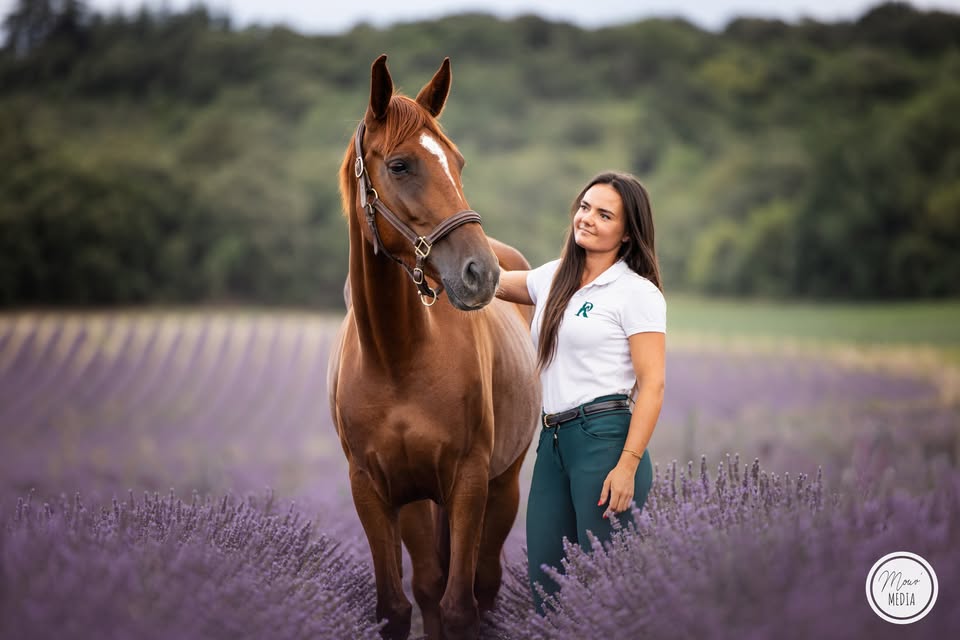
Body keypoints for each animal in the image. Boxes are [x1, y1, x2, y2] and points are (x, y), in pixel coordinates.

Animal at [327, 55, 541, 640]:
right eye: (401, 166)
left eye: (458, 163)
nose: (480, 273)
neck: (397, 355)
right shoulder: (372, 489)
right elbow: (399, 606)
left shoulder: (468, 481)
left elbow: (460, 607)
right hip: (419, 500)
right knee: (427, 584)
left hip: (502, 486)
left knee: (482, 584)